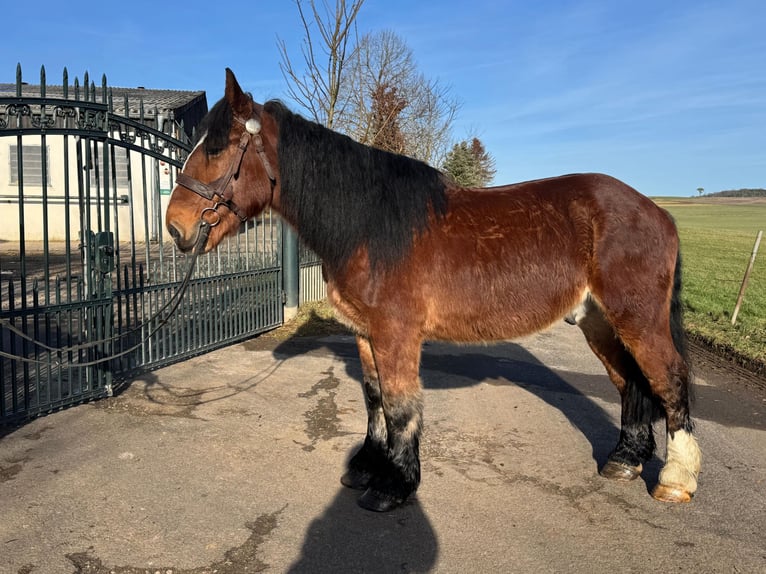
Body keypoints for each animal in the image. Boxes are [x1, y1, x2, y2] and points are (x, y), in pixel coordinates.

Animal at [165, 69, 701, 512]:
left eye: (216, 149)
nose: (175, 228)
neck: (371, 223)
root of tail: (656, 210)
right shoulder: (366, 334)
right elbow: (374, 399)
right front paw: (368, 467)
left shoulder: (396, 333)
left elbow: (401, 405)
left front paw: (394, 486)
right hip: (599, 321)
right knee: (631, 381)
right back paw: (625, 461)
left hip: (637, 318)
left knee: (669, 380)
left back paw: (675, 481)